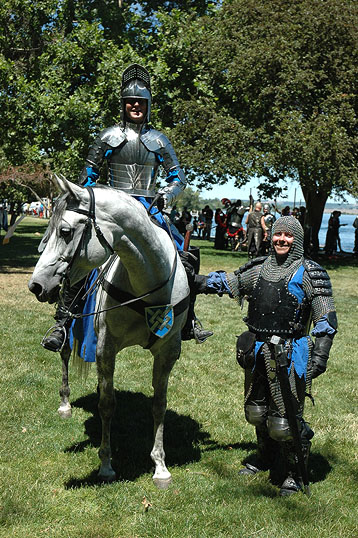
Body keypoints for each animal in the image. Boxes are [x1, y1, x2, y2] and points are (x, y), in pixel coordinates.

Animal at [28, 176, 190, 486]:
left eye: (65, 231)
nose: (36, 285)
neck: (147, 284)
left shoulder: (167, 351)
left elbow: (159, 404)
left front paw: (160, 466)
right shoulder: (106, 347)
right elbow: (107, 404)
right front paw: (105, 464)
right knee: (65, 351)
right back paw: (65, 403)